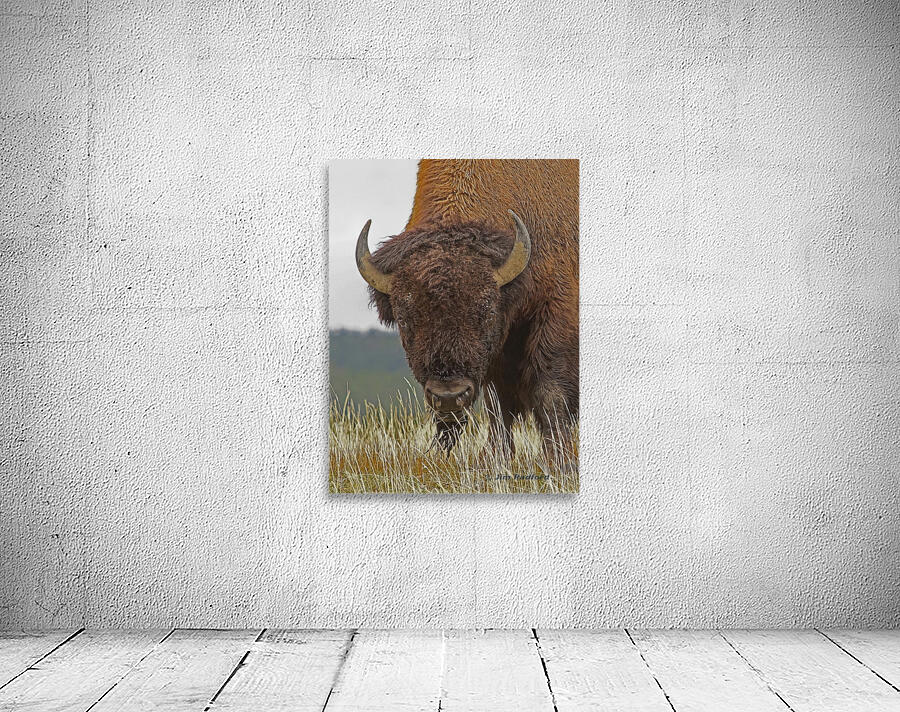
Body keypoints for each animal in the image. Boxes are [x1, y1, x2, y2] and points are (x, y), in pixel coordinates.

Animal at [355, 159, 578, 462]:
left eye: (487, 311)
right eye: (405, 318)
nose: (449, 396)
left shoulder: (555, 312)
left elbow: (549, 392)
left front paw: (559, 460)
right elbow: (497, 403)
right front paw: (495, 458)